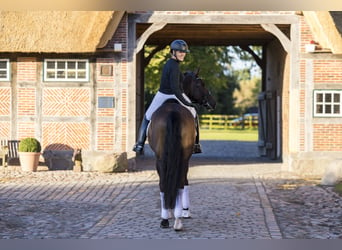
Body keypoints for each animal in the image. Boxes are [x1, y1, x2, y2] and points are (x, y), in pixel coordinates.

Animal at [147, 70, 216, 230]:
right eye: (200, 84)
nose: (212, 102)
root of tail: (172, 112)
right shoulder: (187, 158)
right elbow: (185, 182)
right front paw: (185, 211)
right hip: (182, 158)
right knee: (179, 183)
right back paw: (177, 219)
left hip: (161, 158)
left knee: (164, 184)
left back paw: (166, 218)